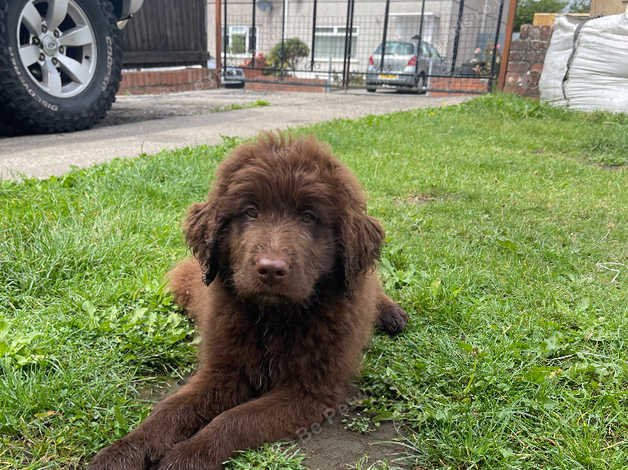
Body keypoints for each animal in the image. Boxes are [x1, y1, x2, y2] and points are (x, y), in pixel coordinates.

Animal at [88, 133, 408, 470]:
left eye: (309, 217)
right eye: (250, 212)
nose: (271, 268)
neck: (272, 317)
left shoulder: (311, 390)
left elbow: (235, 419)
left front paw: (188, 456)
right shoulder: (223, 369)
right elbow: (170, 409)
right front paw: (122, 451)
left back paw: (391, 314)